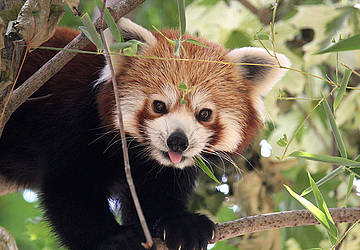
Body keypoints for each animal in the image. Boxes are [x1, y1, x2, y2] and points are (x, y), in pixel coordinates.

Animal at [0, 18, 290, 250]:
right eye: (159, 106)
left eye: (204, 114)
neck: (137, 154)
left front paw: (181, 224)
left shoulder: (160, 169)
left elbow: (155, 196)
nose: (177, 141)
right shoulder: (76, 124)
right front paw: (114, 238)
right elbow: (71, 189)